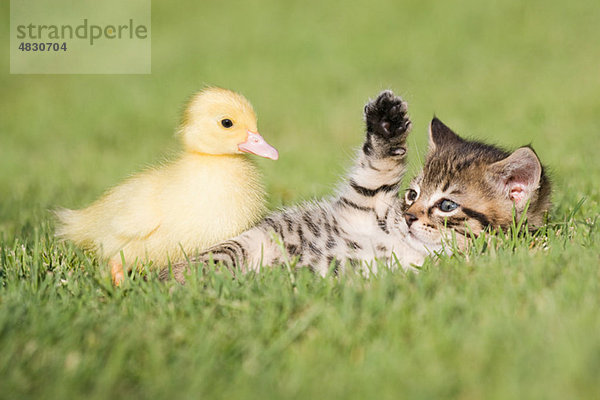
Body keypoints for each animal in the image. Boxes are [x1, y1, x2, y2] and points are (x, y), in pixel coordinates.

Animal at [158, 91, 548, 284]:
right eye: (412, 194)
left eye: (447, 206)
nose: (408, 217)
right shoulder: (362, 204)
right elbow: (377, 168)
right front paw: (387, 122)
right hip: (250, 241)